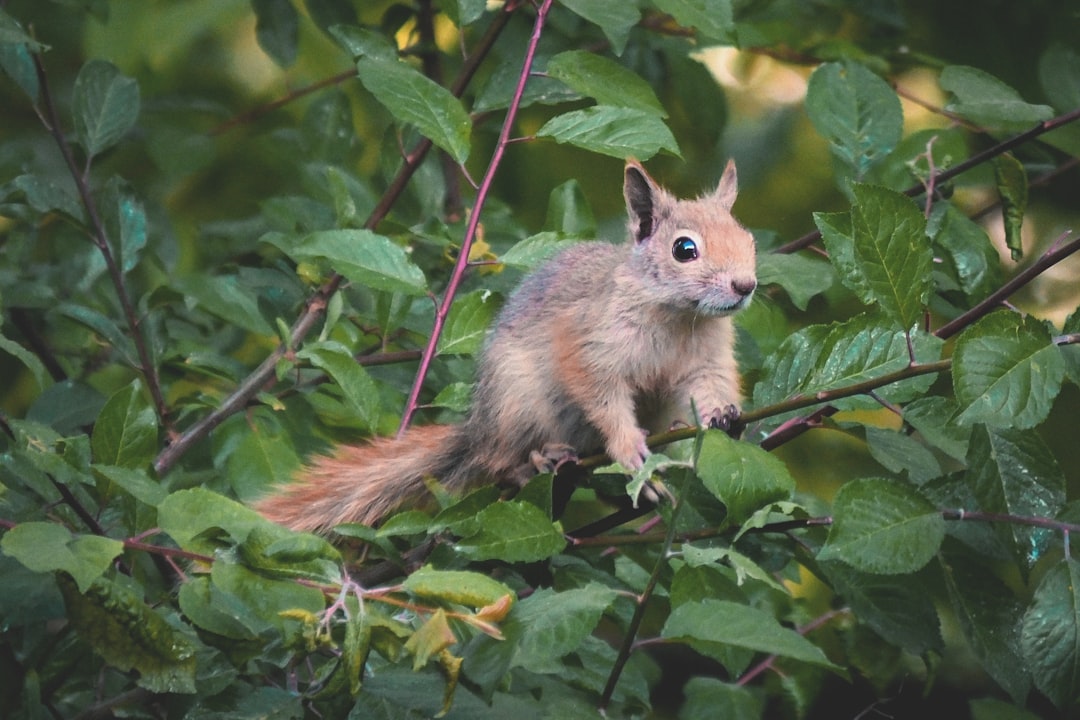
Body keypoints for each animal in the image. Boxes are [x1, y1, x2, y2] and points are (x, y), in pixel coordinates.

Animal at [255, 162, 756, 535]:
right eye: (684, 248)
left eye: (748, 239)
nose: (746, 286)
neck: (681, 319)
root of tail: (478, 430)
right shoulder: (586, 341)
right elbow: (599, 393)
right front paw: (629, 448)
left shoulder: (707, 361)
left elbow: (710, 387)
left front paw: (723, 417)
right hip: (518, 404)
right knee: (497, 464)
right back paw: (536, 461)